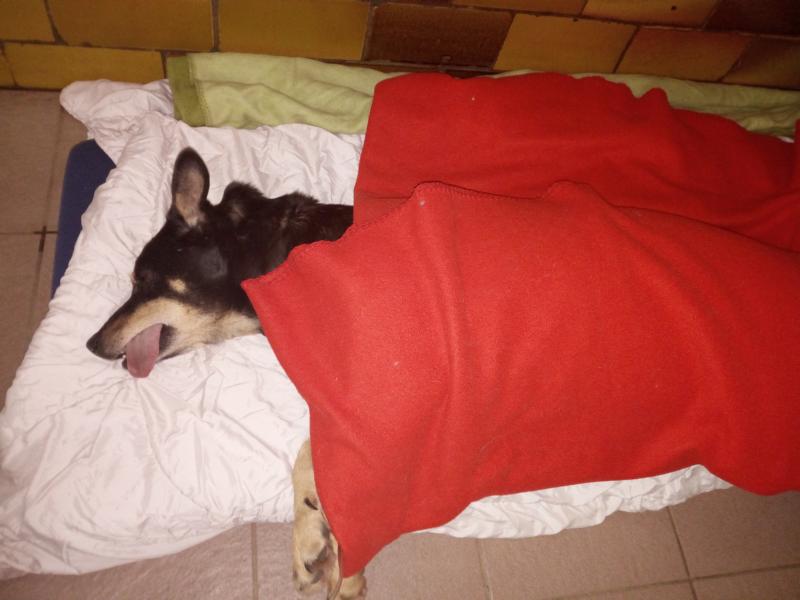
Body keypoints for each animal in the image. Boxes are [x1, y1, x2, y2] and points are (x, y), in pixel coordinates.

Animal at [87, 148, 366, 599]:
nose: (91, 344)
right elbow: (314, 455)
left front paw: (340, 560)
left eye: (141, 280)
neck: (275, 259)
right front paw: (315, 537)